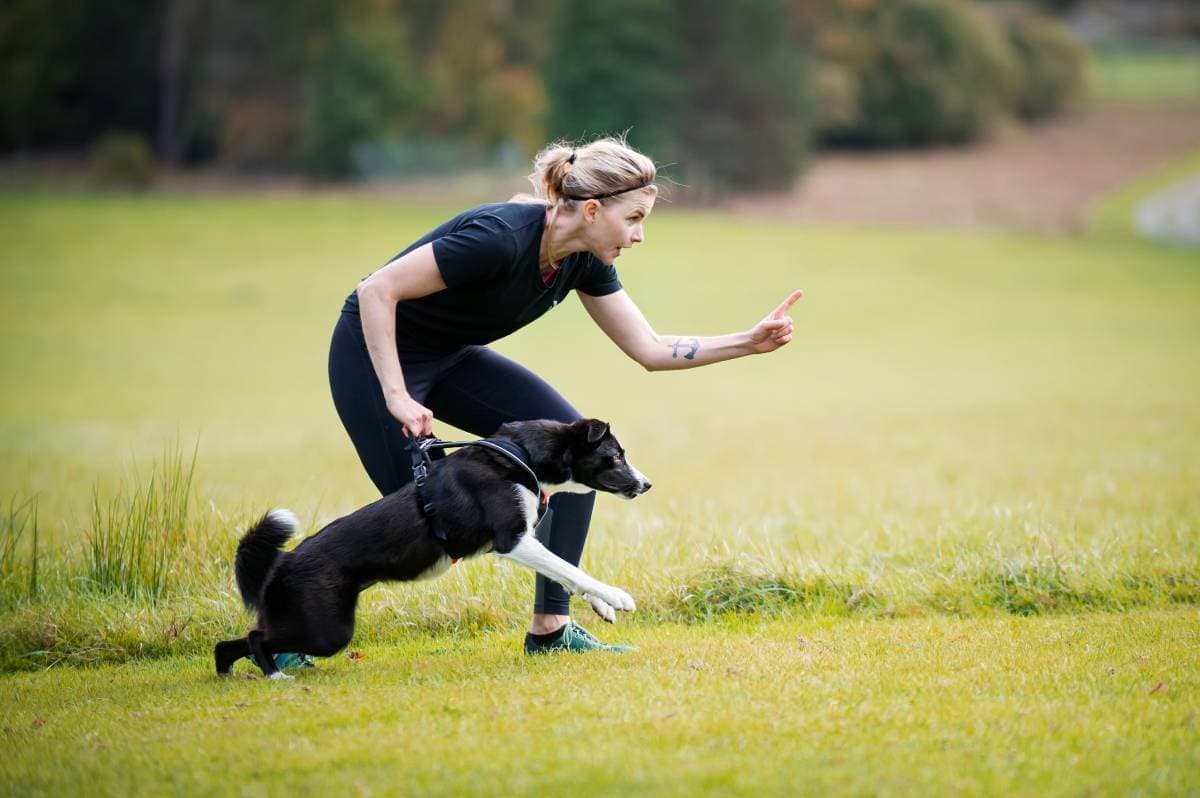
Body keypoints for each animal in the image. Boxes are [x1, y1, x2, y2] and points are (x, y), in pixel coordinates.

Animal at [211, 417, 652, 676]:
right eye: (615, 456)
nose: (646, 484)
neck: (522, 455)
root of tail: (282, 562)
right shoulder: (512, 541)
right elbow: (567, 567)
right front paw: (616, 596)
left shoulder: (523, 542)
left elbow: (564, 572)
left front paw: (603, 606)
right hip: (327, 630)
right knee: (255, 639)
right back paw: (275, 674)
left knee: (228, 644)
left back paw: (231, 675)